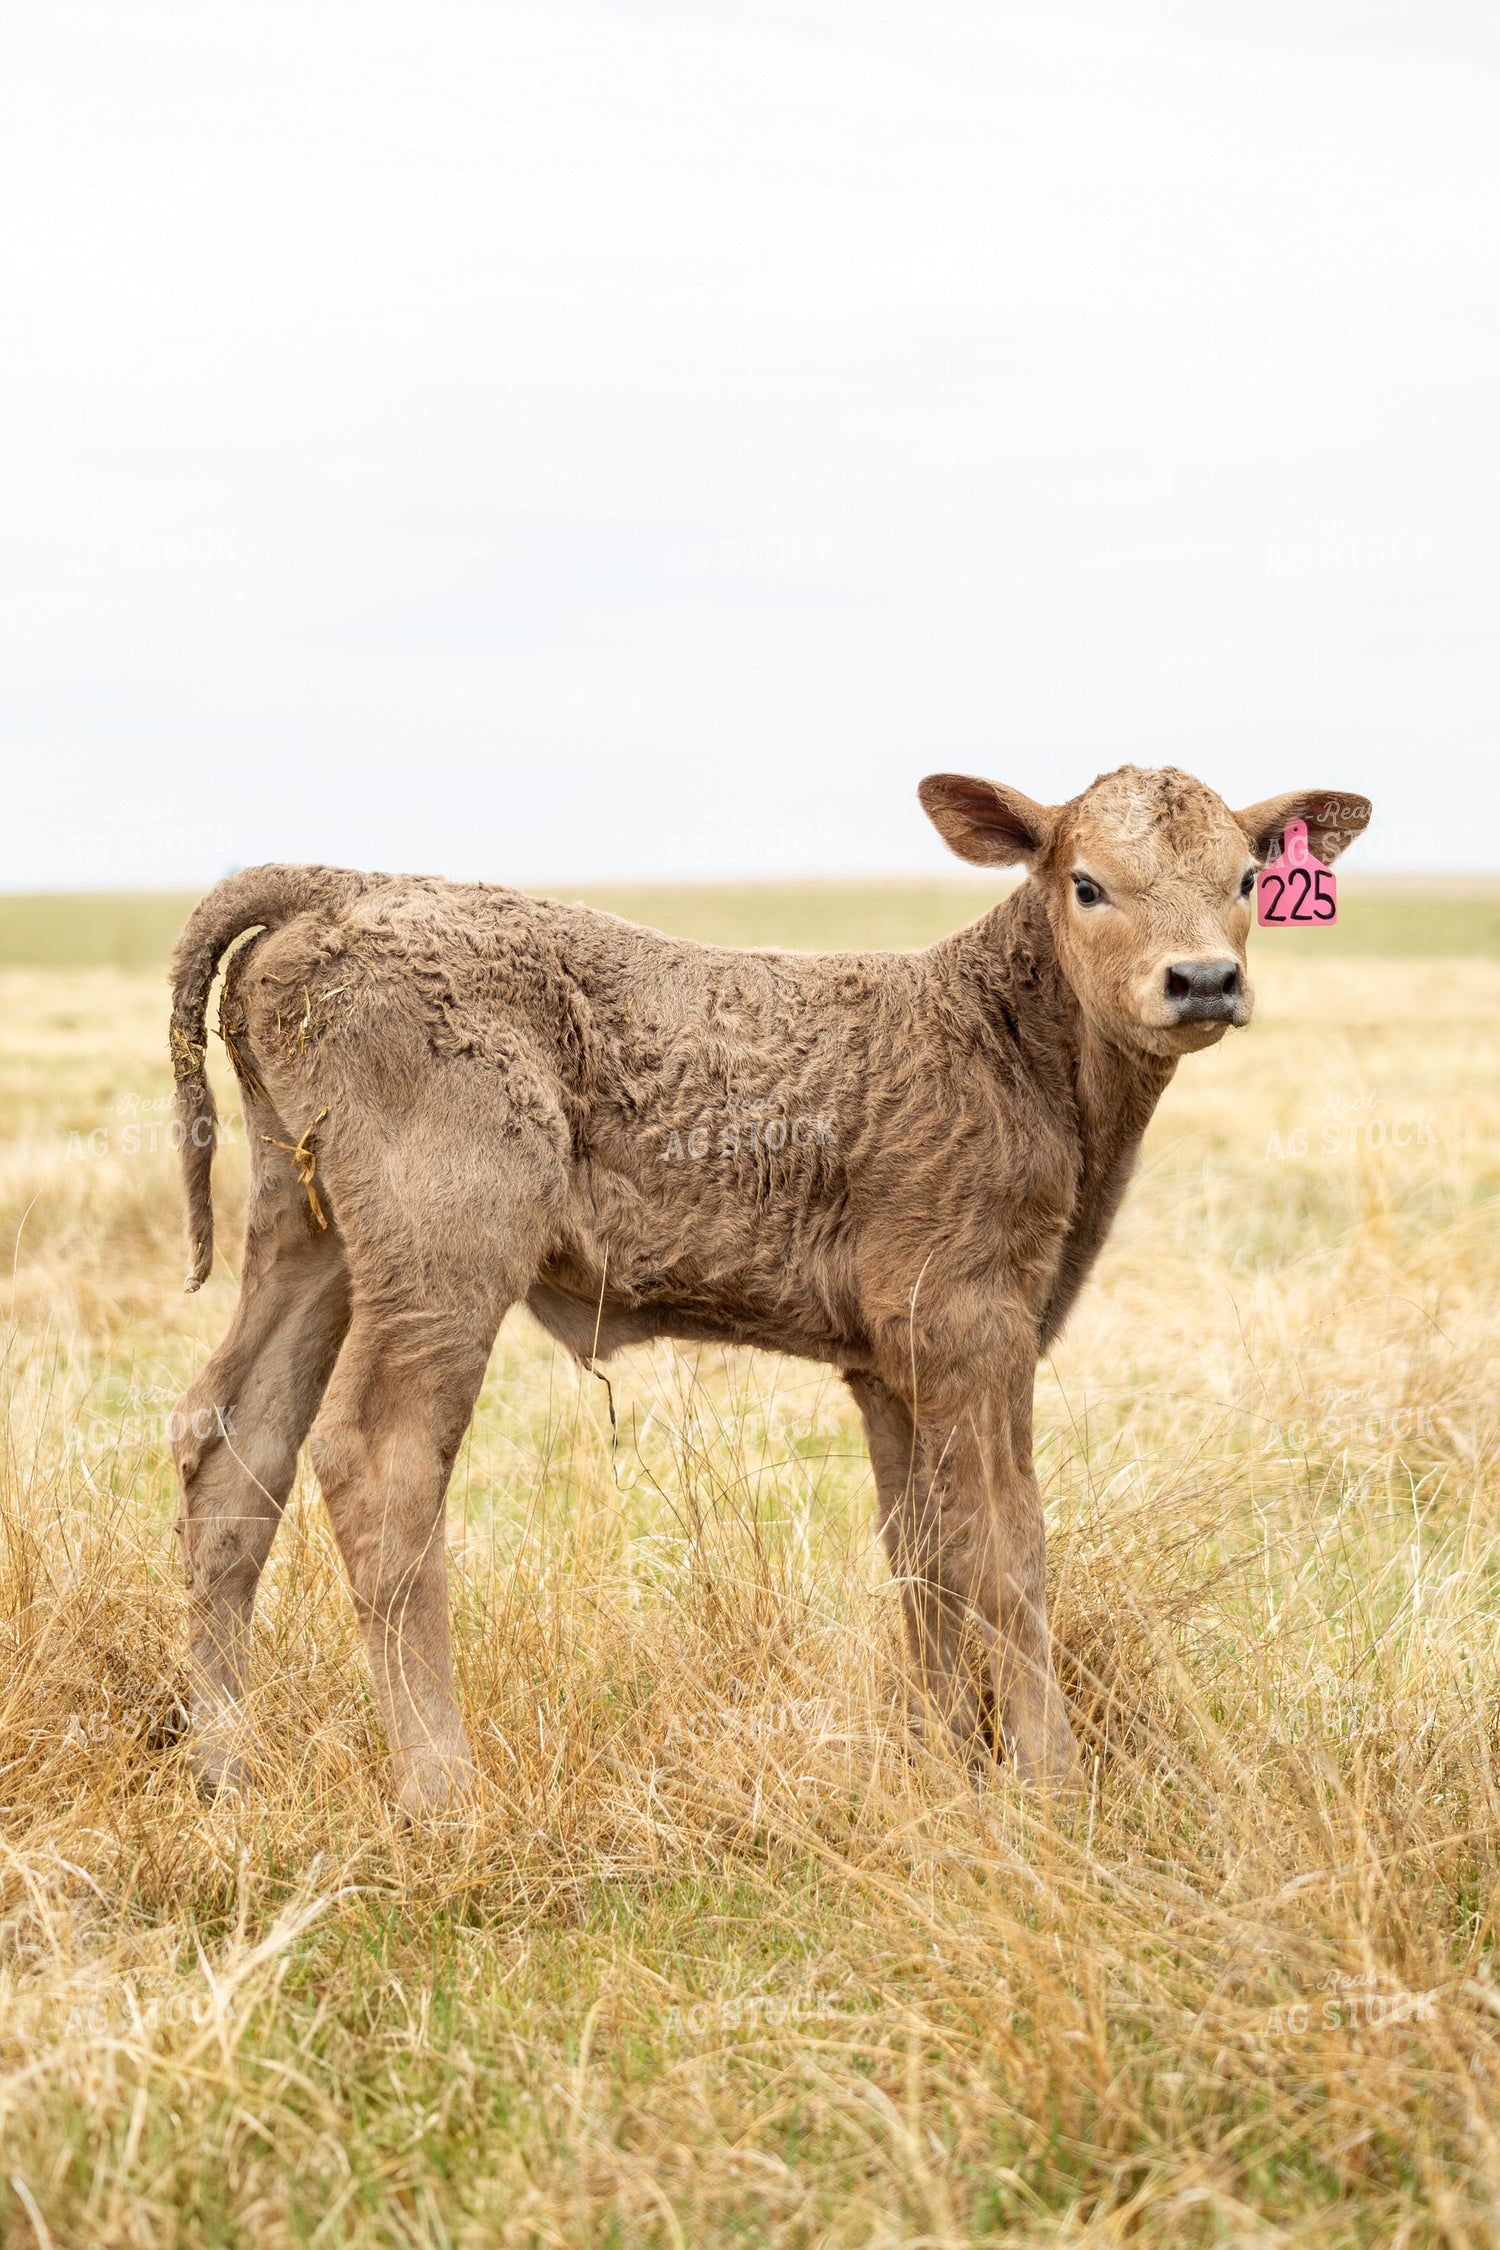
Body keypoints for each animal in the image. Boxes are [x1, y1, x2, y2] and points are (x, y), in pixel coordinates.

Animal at [166, 767, 1370, 1814]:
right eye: (1086, 883)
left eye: (1247, 879)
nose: (1203, 980)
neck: (1004, 1044)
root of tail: (344, 885)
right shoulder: (969, 1323)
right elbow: (1006, 1547)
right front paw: (1049, 1783)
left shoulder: (890, 1363)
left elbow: (925, 1552)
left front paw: (948, 1765)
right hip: (445, 1251)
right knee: (381, 1459)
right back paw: (439, 1788)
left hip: (308, 1235)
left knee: (234, 1442)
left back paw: (227, 1764)